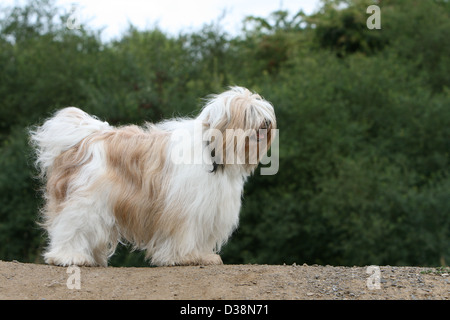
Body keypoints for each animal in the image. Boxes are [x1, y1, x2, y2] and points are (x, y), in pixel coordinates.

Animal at [29, 86, 276, 266]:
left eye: (264, 113)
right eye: (249, 114)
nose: (267, 124)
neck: (213, 150)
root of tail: (86, 138)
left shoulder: (208, 209)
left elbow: (202, 236)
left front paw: (204, 256)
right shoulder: (184, 208)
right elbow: (184, 234)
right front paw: (183, 257)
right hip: (85, 201)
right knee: (71, 225)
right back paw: (69, 257)